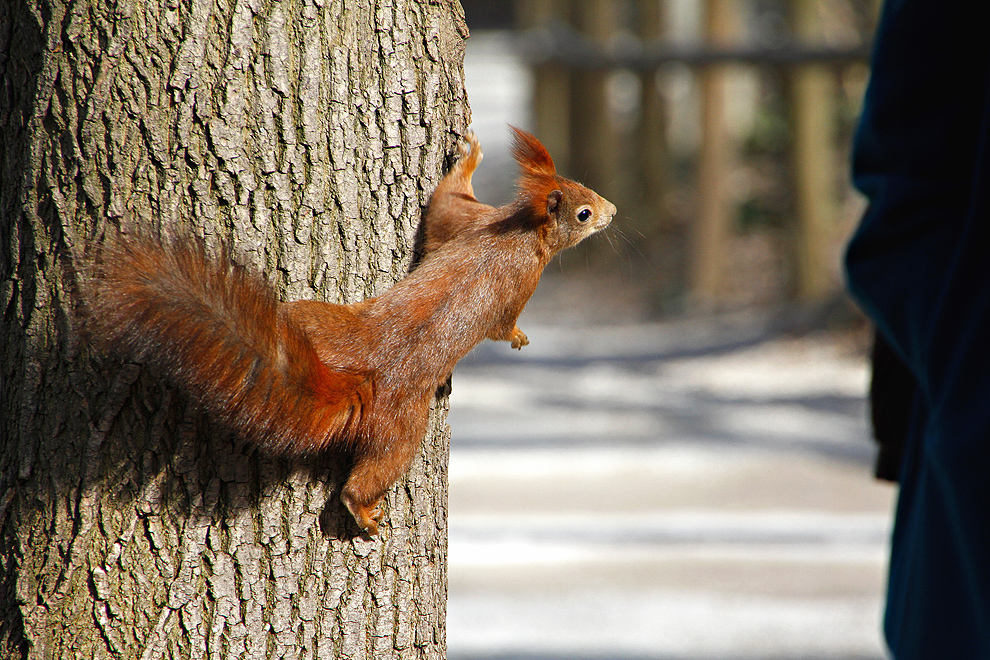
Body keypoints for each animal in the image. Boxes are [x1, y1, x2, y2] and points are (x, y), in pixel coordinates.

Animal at [91, 127, 620, 536]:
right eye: (583, 213)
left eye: (584, 185)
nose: (613, 210)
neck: (520, 231)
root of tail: (353, 377)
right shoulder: (519, 278)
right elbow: (501, 320)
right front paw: (519, 338)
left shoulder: (469, 223)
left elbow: (443, 205)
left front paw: (466, 155)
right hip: (403, 426)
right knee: (372, 472)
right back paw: (362, 511)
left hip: (318, 323)